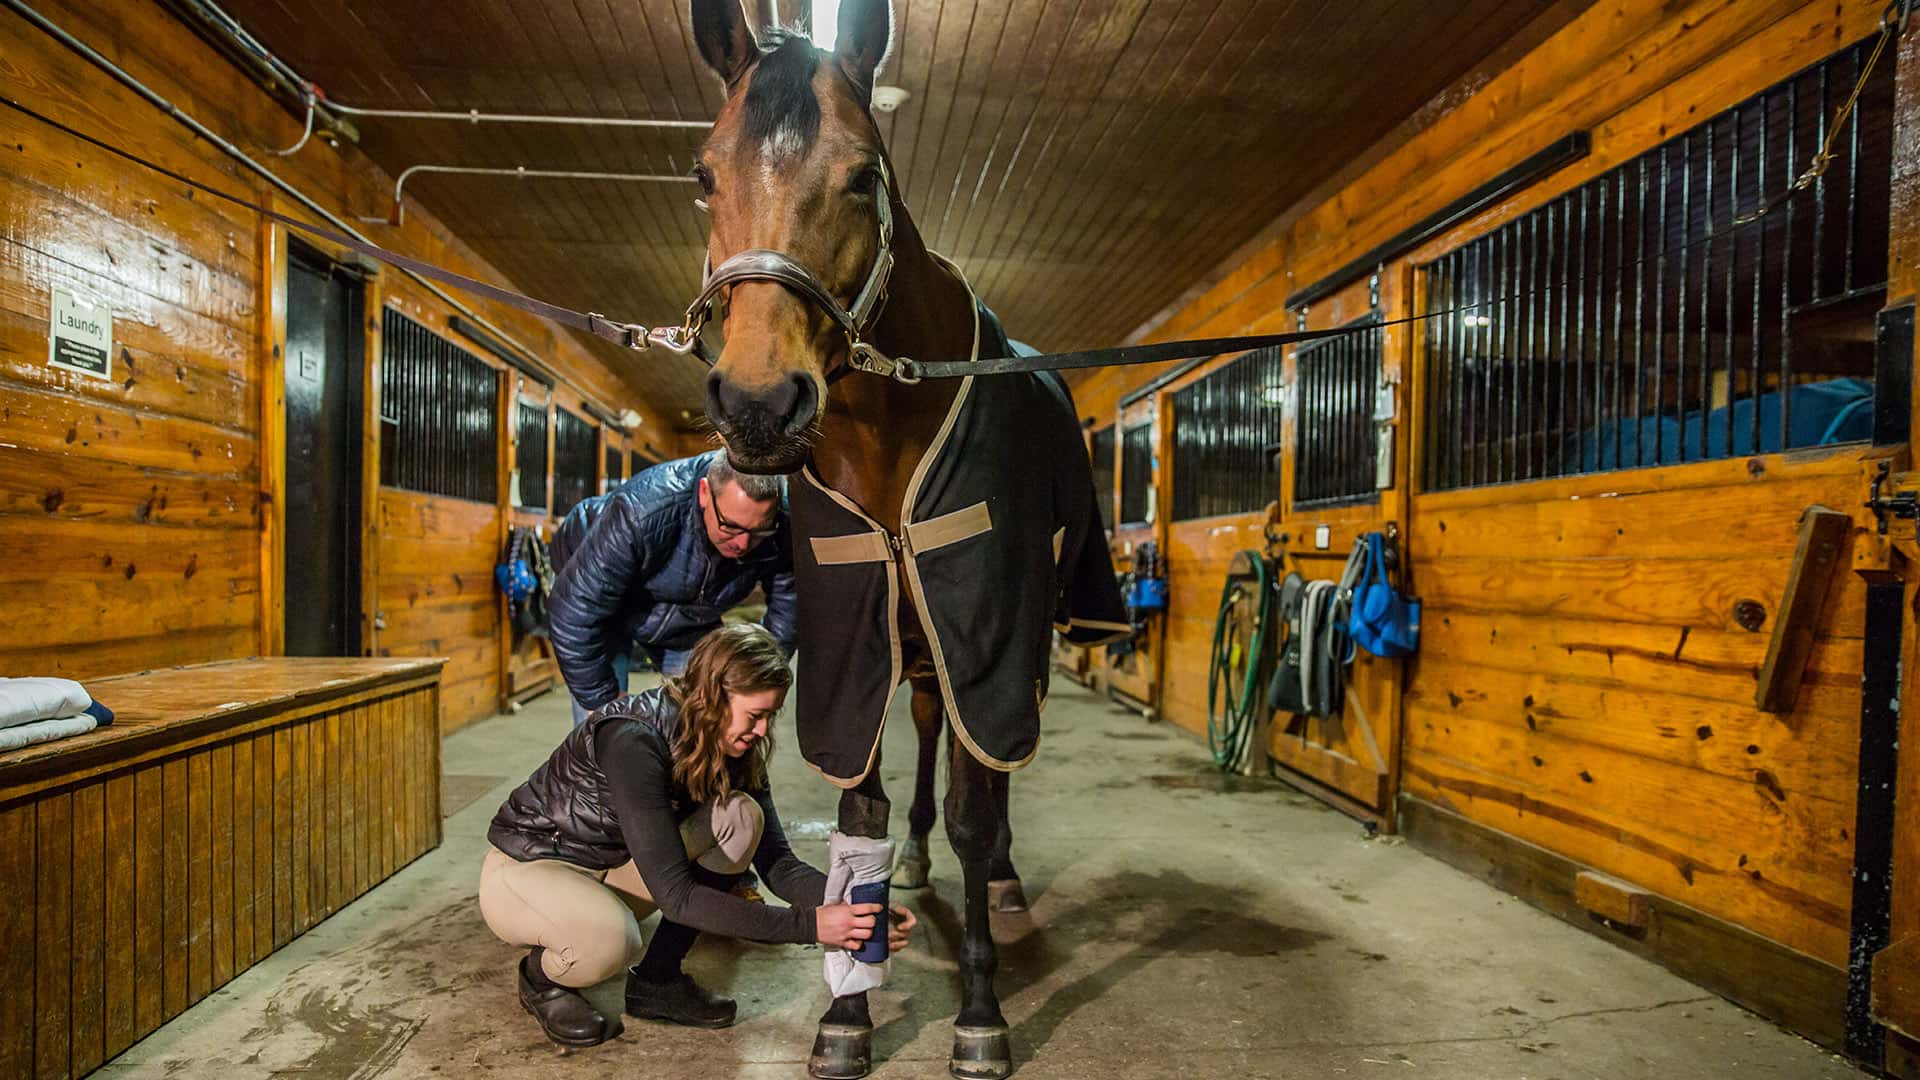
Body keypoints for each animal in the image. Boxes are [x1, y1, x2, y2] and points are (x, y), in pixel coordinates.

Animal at [683, 0, 1121, 1068]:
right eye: (705, 174)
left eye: (862, 174)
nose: (758, 404)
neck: (887, 436)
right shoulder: (854, 639)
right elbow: (860, 808)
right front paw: (846, 1011)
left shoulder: (986, 637)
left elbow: (977, 804)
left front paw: (980, 1012)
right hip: (917, 642)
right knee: (927, 729)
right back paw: (920, 858)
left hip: (1000, 649)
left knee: (992, 771)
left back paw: (1000, 878)